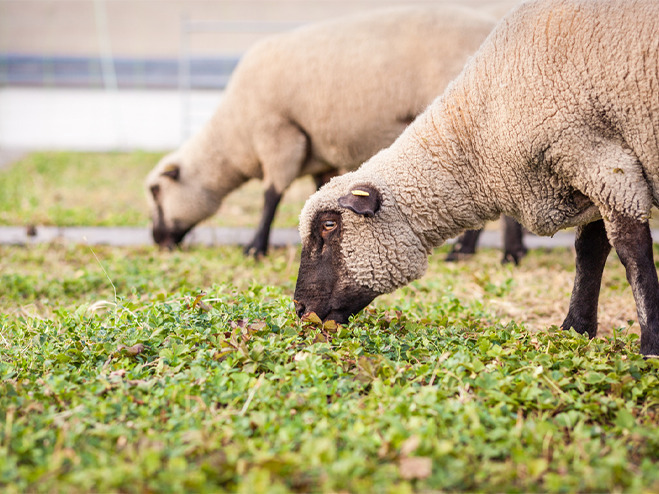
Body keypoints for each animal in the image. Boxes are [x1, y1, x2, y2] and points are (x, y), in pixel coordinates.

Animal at [144, 5, 498, 256]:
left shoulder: (279, 135)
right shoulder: (319, 153)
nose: (157, 240)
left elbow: (271, 196)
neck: (234, 136)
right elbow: (319, 190)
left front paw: (255, 248)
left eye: (156, 191)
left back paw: (467, 250)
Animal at [294, 0, 659, 356]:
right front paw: (576, 330)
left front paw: (650, 345)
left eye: (329, 225)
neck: (478, 130)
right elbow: (591, 252)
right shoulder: (598, 168)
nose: (298, 309)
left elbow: (630, 252)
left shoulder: (596, 155)